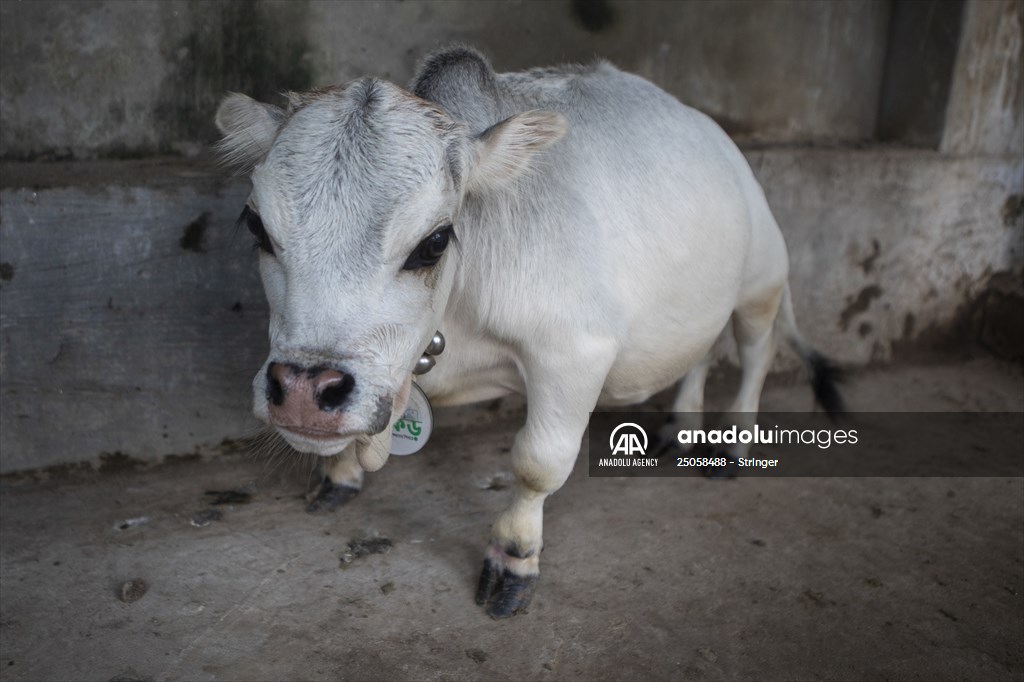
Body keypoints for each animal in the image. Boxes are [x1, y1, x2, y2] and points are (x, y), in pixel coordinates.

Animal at [214, 46, 842, 619]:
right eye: (257, 227)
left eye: (434, 242)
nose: (303, 391)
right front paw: (339, 475)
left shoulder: (573, 353)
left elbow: (537, 462)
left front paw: (514, 557)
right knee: (702, 354)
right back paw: (681, 429)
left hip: (761, 285)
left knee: (756, 355)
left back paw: (733, 445)